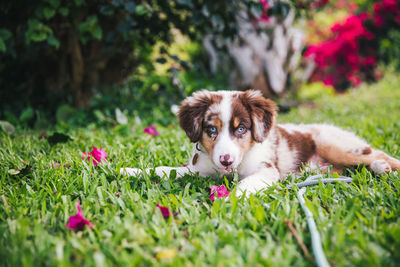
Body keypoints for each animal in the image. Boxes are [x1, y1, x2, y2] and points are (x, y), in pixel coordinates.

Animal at [121, 90, 400, 197]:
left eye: (241, 129)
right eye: (211, 130)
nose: (226, 160)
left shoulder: (266, 170)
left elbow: (245, 184)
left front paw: (229, 201)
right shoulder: (200, 170)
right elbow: (163, 170)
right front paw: (128, 170)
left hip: (336, 145)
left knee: (377, 154)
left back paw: (385, 167)